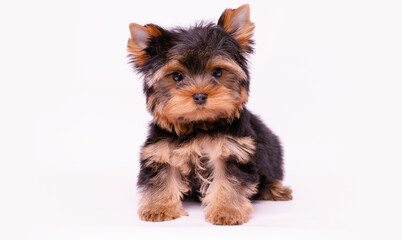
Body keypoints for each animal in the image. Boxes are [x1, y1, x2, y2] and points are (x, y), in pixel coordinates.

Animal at [128, 3, 292, 225]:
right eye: (176, 76)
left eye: (218, 72)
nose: (199, 95)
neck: (199, 125)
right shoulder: (161, 149)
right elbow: (162, 174)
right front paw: (158, 207)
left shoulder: (232, 150)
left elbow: (229, 180)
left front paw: (227, 211)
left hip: (271, 150)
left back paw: (276, 189)